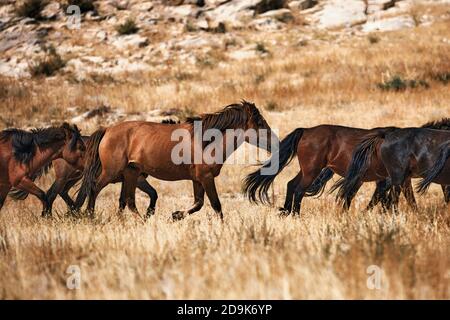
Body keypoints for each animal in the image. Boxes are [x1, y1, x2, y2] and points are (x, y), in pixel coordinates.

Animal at [75, 101, 276, 219]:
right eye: (259, 123)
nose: (275, 142)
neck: (207, 141)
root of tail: (107, 129)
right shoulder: (206, 177)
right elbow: (216, 205)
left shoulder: (197, 179)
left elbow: (198, 204)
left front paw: (176, 215)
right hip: (112, 172)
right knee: (95, 188)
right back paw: (90, 216)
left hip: (131, 173)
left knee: (128, 201)